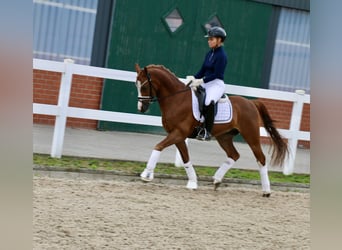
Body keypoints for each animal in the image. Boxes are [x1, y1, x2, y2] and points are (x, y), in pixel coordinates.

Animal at [135, 63, 288, 196]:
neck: (177, 99)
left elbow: (158, 146)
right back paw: (217, 180)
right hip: (224, 137)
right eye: (136, 85)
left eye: (144, 86)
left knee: (261, 158)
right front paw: (192, 182)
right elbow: (185, 158)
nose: (141, 108)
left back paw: (266, 191)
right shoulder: (177, 136)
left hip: (251, 135)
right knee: (234, 155)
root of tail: (251, 102)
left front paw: (146, 174)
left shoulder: (178, 133)